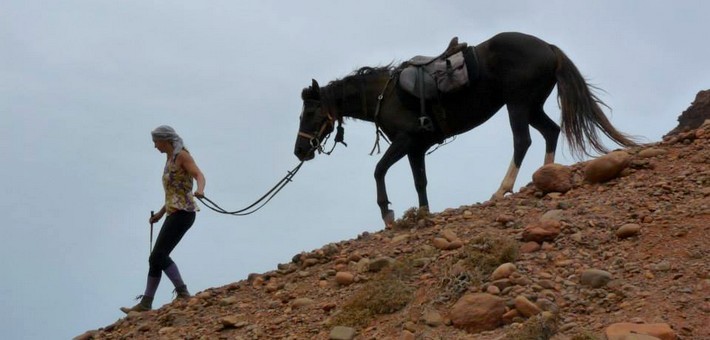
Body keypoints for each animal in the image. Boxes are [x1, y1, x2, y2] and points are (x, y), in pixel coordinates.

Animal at [292, 31, 636, 223]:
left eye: (309, 111)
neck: (384, 94)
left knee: (522, 141)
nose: (300, 151)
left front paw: (387, 213)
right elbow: (420, 182)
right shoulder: (416, 149)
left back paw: (502, 189)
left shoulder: (405, 141)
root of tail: (548, 47)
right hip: (532, 106)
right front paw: (423, 214)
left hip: (518, 104)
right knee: (550, 131)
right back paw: (544, 175)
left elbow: (379, 170)